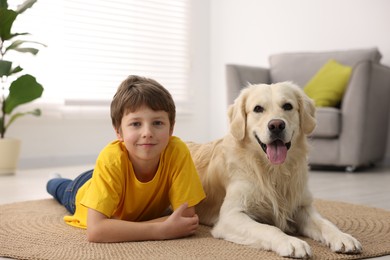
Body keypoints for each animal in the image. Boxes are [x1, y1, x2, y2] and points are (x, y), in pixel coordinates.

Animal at [187, 83, 362, 258]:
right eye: (258, 109)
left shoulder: (301, 206)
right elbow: (268, 228)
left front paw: (343, 237)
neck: (274, 171)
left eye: (288, 106)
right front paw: (291, 242)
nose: (276, 125)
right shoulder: (231, 215)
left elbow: (325, 223)